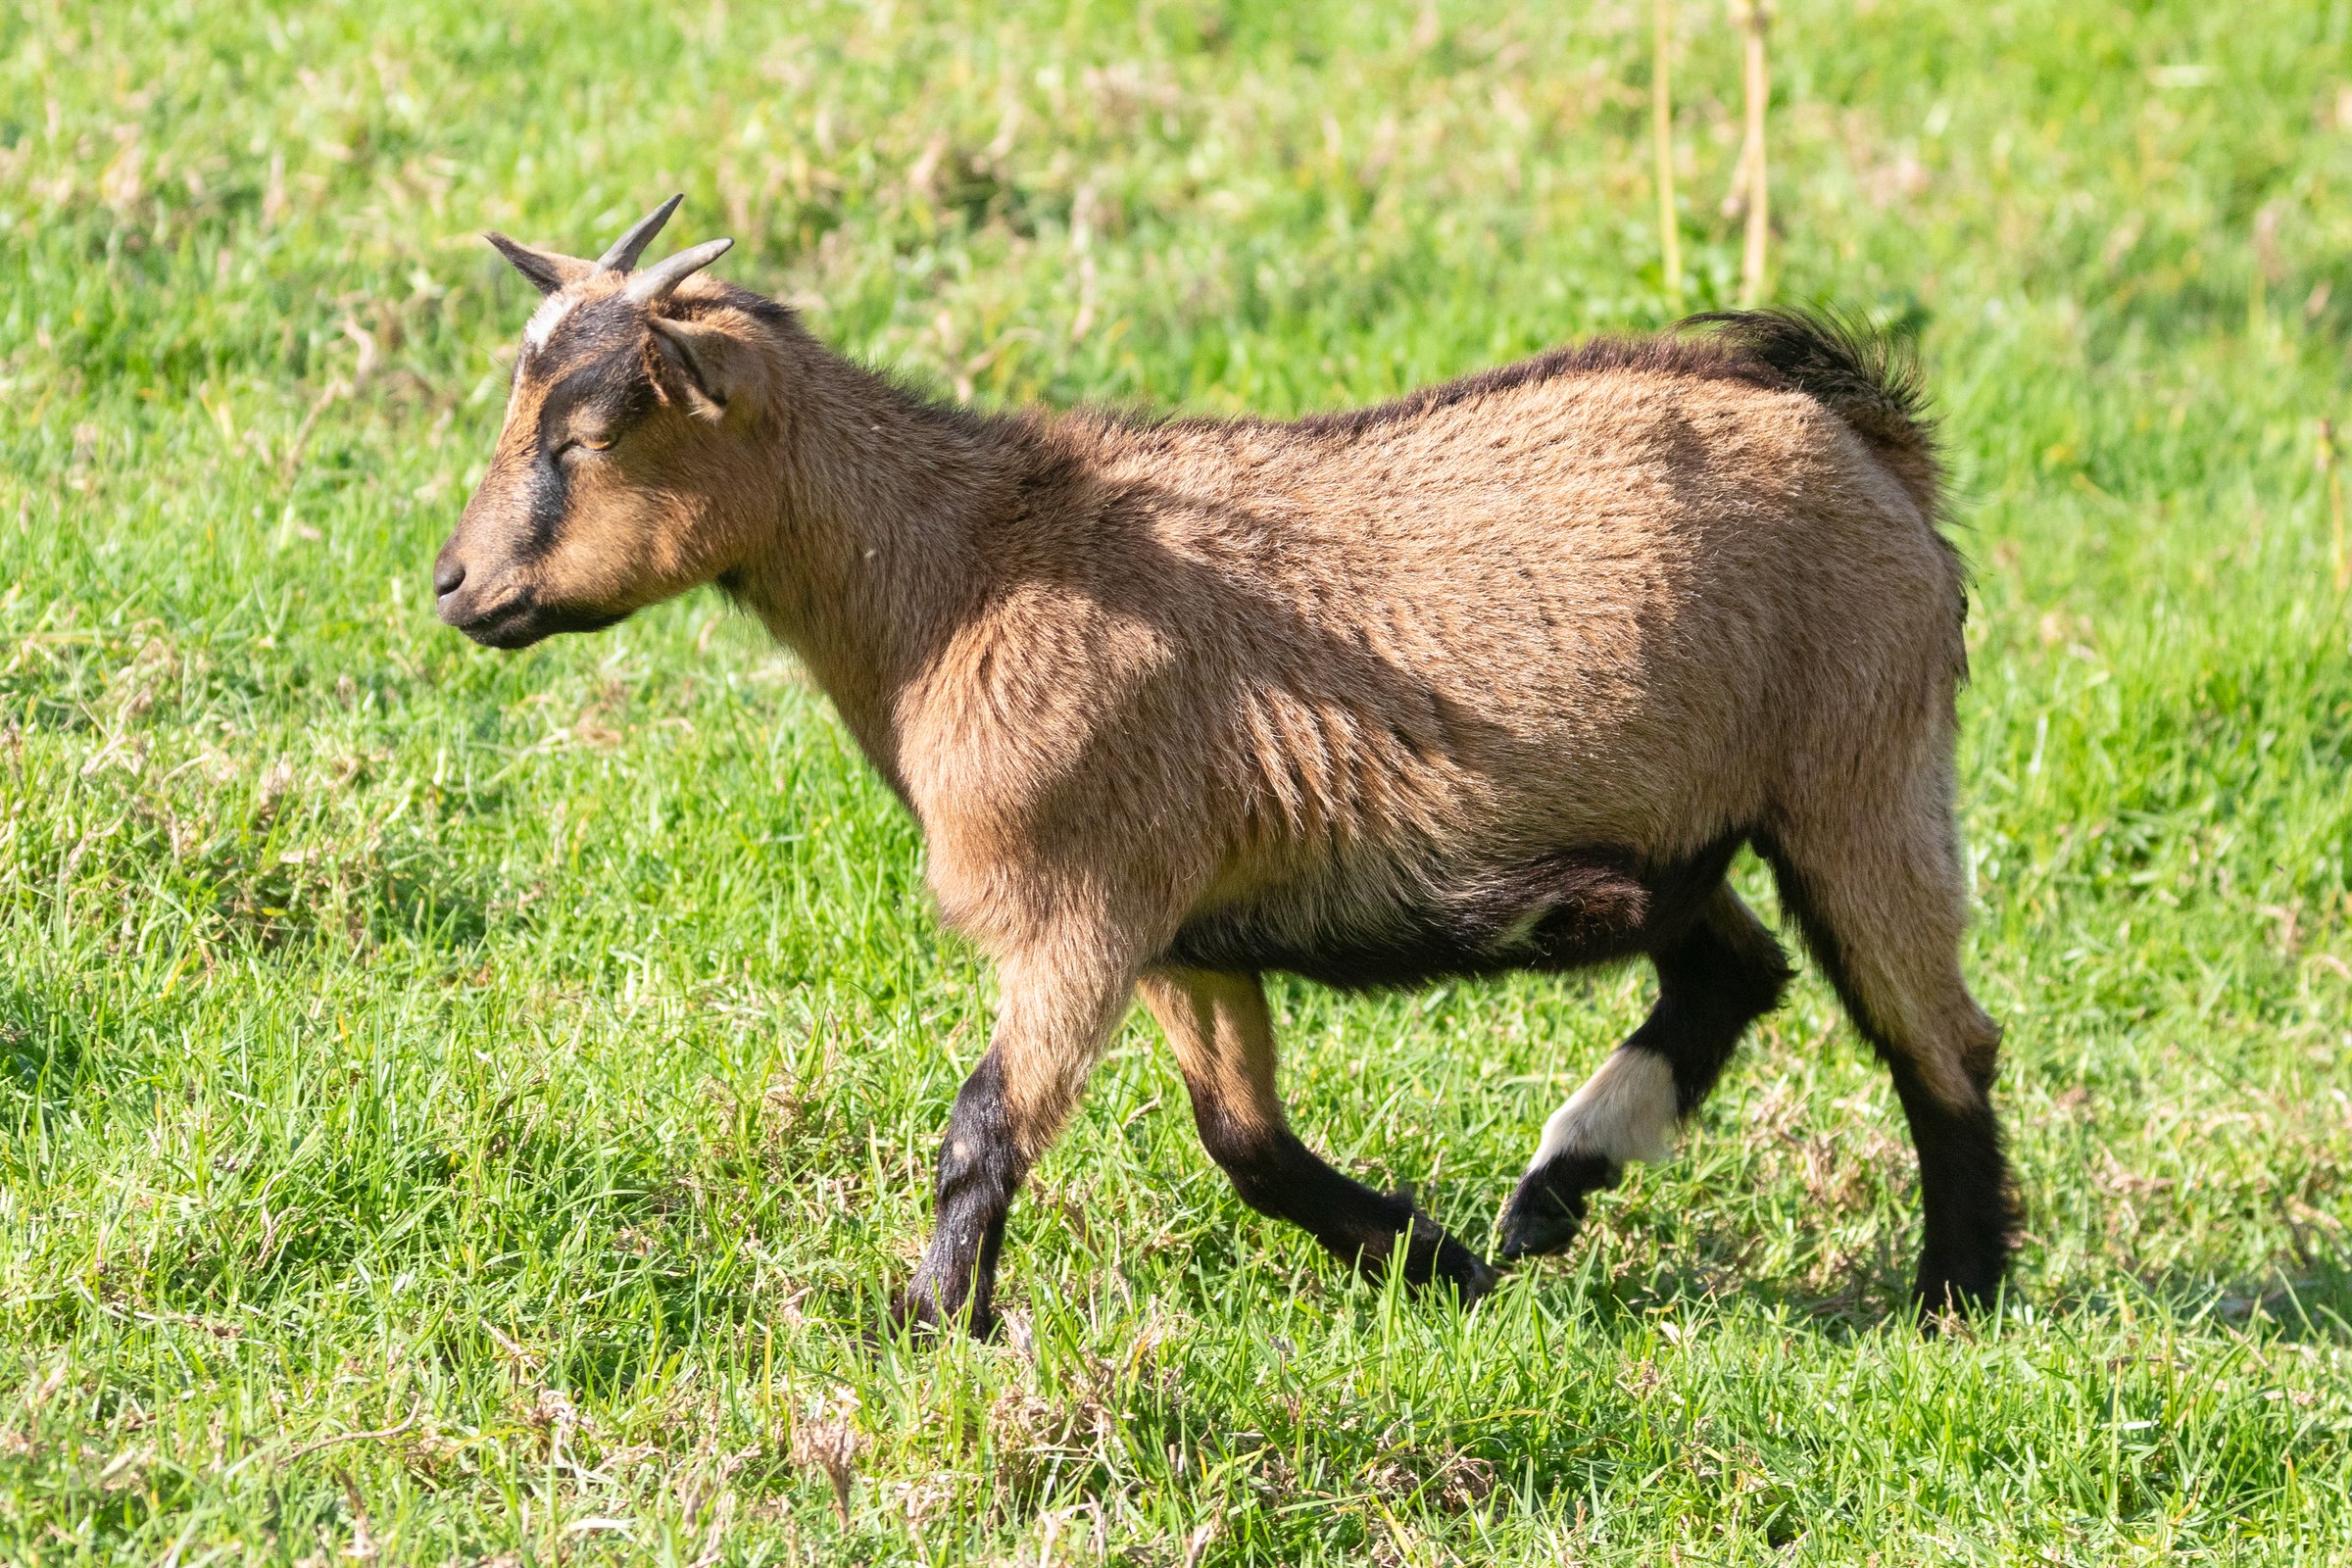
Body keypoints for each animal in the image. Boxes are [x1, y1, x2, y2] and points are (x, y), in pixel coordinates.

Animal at [436, 198, 2013, 1334]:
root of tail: (1872, 438)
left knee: (1938, 1038)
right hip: (1692, 819)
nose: (455, 588)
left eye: (587, 434)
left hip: (1862, 770)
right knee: (1737, 970)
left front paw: (927, 1326)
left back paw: (1956, 1297)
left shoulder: (1081, 905)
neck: (965, 579)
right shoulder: (1189, 931)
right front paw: (1438, 1265)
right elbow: (1242, 1141)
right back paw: (1548, 1198)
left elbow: (982, 1129)